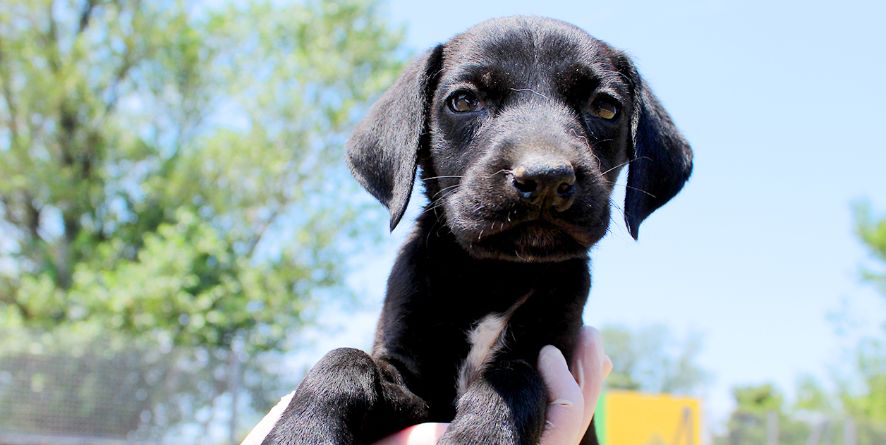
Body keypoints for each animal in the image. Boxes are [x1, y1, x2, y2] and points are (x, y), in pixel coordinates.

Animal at [264, 15, 692, 442]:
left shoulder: (550, 349)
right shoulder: (410, 379)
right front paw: (302, 431)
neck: (493, 275)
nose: (546, 178)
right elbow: (344, 361)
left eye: (605, 107)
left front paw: (482, 433)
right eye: (464, 101)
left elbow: (513, 375)